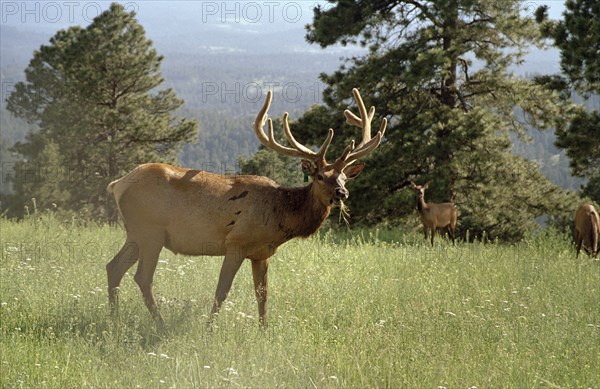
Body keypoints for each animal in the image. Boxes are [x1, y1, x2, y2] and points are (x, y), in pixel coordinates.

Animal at [106, 87, 390, 324]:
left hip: (136, 233)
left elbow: (262, 295)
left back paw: (115, 321)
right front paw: (209, 329)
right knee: (142, 277)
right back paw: (160, 325)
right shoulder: (236, 242)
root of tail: (118, 184)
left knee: (113, 267)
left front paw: (265, 332)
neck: (280, 217)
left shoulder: (262, 253)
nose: (342, 192)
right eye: (320, 176)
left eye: (344, 177)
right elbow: (222, 291)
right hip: (150, 231)